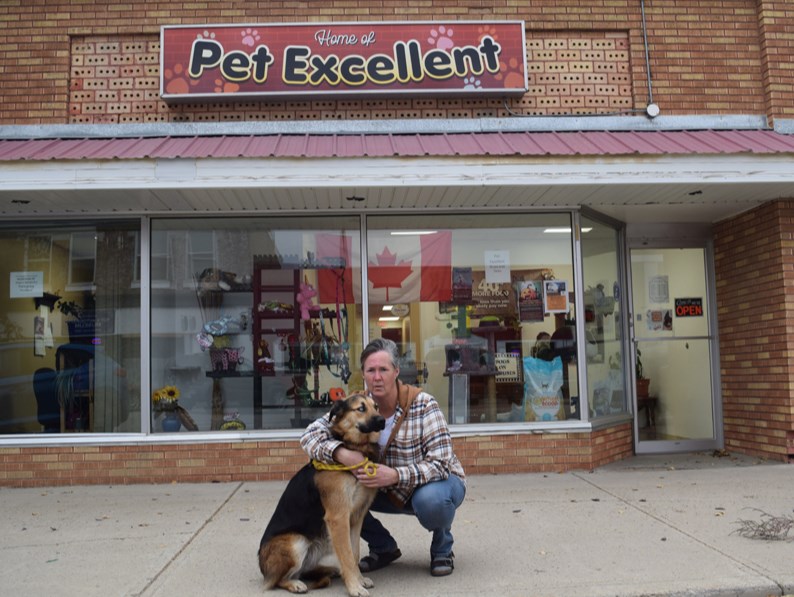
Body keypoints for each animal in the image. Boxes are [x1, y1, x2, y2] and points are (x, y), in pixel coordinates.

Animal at [258, 394, 386, 592]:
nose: (382, 420)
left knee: (303, 570)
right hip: (297, 542)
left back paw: (328, 570)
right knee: (277, 580)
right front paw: (354, 587)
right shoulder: (338, 518)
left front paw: (359, 579)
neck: (355, 447)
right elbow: (347, 556)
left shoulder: (356, 518)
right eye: (361, 408)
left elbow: (354, 553)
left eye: (377, 407)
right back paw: (294, 584)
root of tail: (262, 566)